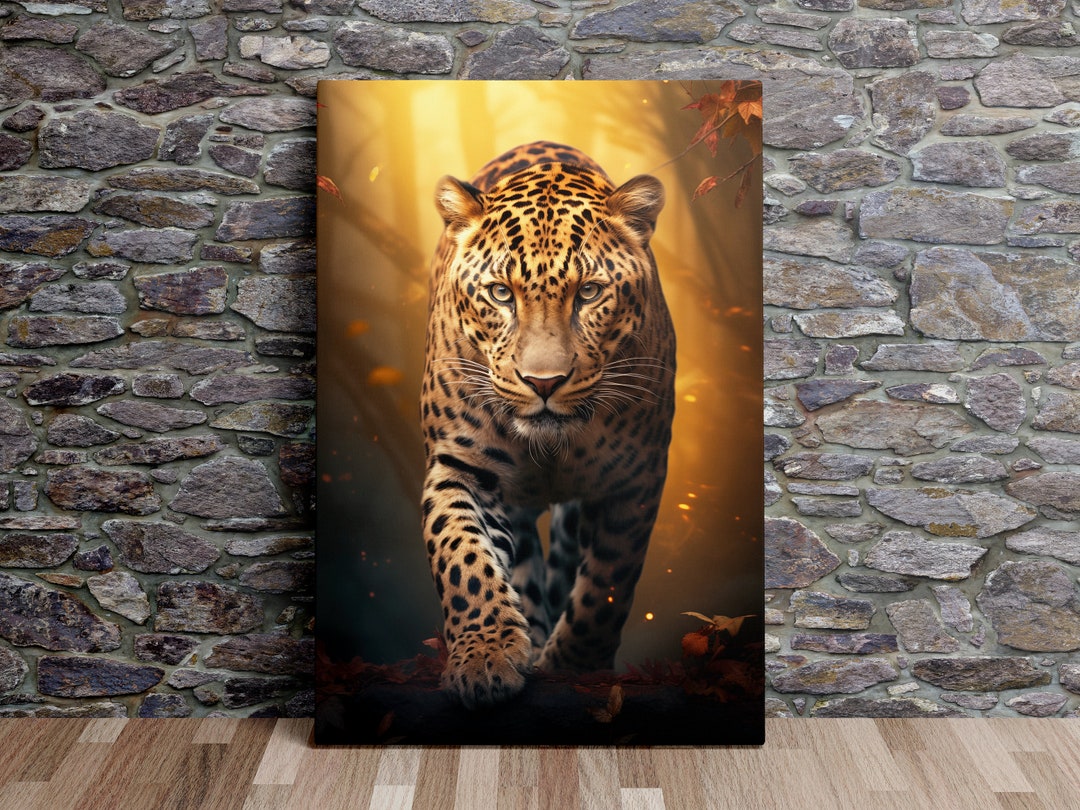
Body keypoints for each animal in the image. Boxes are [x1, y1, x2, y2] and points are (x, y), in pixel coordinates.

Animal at [420, 141, 676, 709]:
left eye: (590, 293)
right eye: (500, 294)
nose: (544, 382)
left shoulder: (633, 481)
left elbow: (605, 587)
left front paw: (573, 667)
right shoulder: (459, 465)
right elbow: (462, 555)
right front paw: (485, 657)